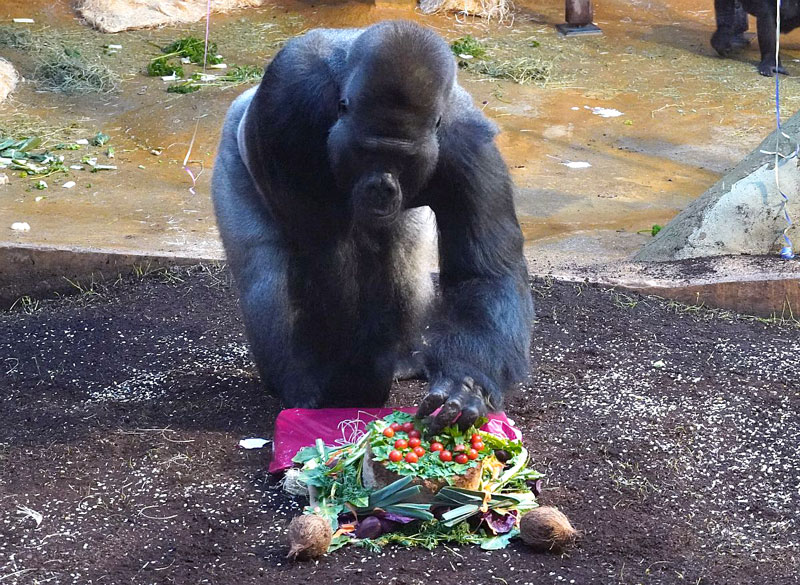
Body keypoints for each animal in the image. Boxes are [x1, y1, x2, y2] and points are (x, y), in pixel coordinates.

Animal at [212, 20, 536, 432]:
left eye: (403, 158)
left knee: (403, 255)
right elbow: (325, 259)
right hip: (232, 149)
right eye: (367, 151)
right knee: (265, 273)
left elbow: (483, 274)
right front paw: (345, 387)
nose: (381, 187)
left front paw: (466, 384)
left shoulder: (470, 148)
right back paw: (293, 380)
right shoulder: (291, 104)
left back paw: (402, 361)